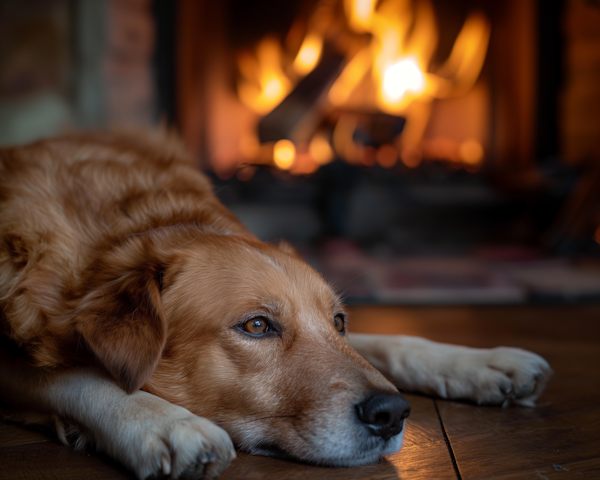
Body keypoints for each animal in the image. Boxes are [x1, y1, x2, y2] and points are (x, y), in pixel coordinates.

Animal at [0, 132, 552, 480]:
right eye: (257, 326)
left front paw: (481, 362)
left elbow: (390, 344)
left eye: (339, 321)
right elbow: (79, 377)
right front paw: (167, 423)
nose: (392, 413)